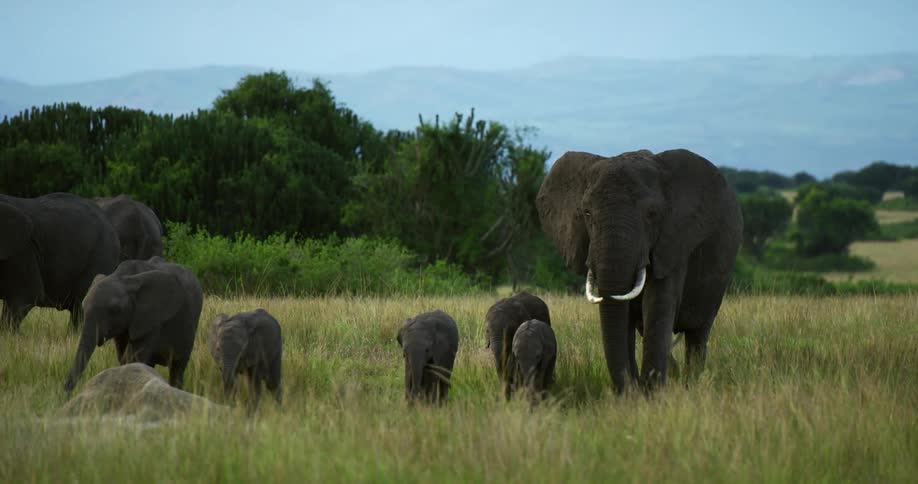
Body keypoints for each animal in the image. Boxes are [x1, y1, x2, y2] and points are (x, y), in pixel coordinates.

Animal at [63, 256, 203, 393]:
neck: (124, 277)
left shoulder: (151, 320)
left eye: (115, 310)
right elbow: (124, 358)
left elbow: (134, 358)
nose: (65, 394)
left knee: (177, 367)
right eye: (83, 306)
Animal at [536, 149, 742, 392]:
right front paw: (634, 393)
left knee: (698, 334)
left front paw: (652, 392)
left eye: (651, 214)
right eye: (586, 213)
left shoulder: (673, 242)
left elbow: (657, 303)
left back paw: (690, 386)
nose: (631, 389)